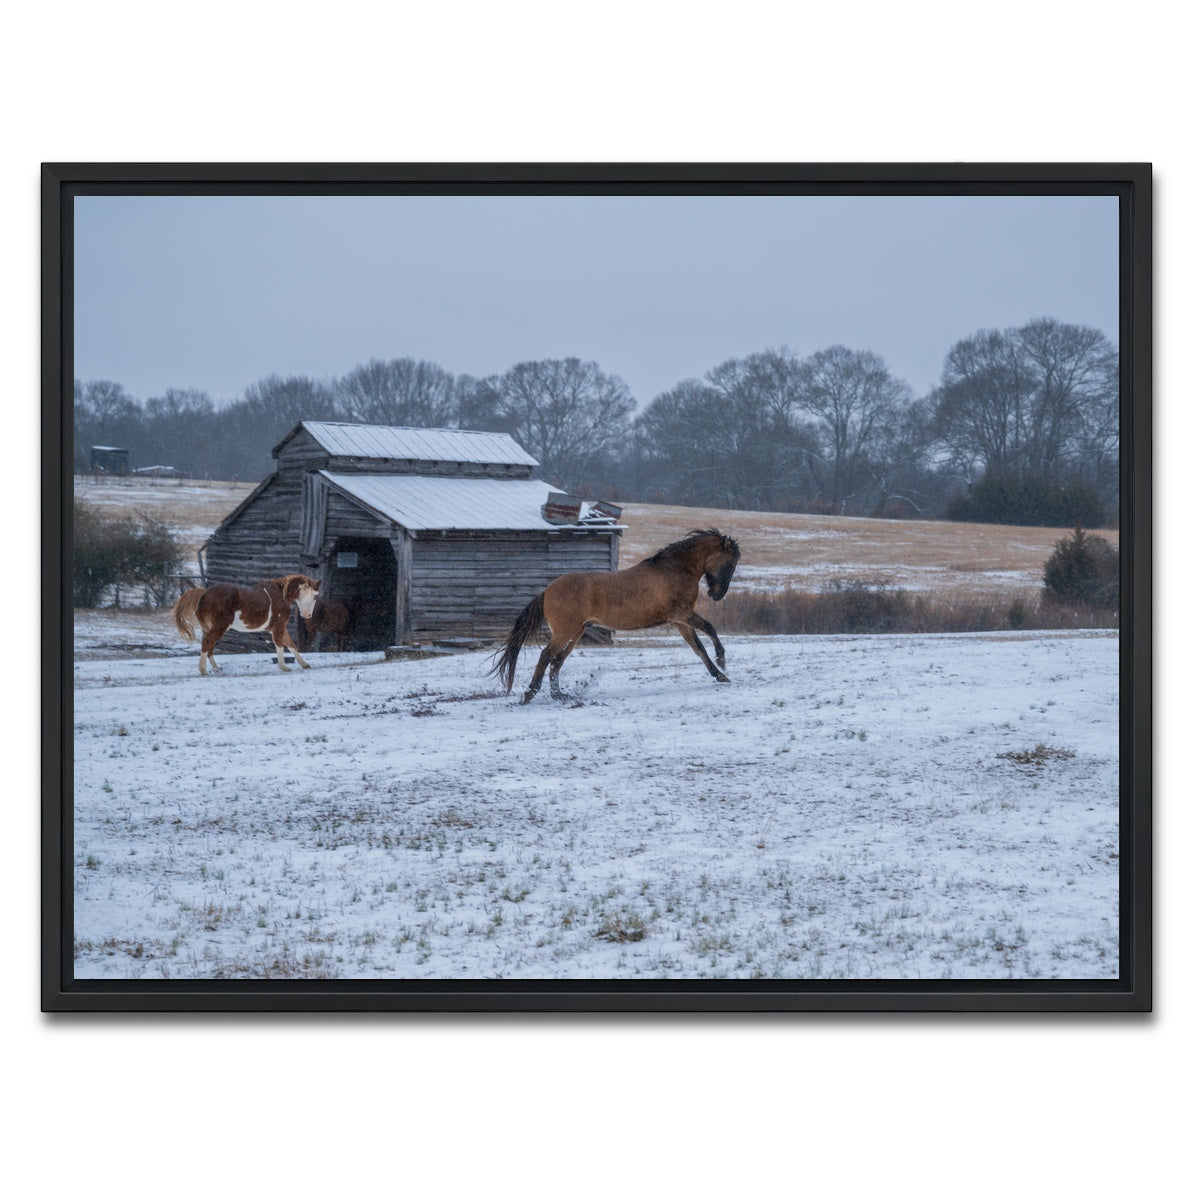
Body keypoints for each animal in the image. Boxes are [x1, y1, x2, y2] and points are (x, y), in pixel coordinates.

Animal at [172, 574, 321, 676]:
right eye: (315, 596)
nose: (307, 615)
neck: (281, 594)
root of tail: (204, 593)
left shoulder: (277, 628)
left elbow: (291, 644)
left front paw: (305, 665)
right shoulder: (278, 626)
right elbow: (280, 644)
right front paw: (284, 667)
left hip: (209, 628)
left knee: (209, 646)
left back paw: (217, 669)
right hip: (220, 627)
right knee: (207, 643)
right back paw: (203, 670)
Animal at [491, 528, 740, 704]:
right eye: (729, 564)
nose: (717, 595)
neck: (674, 570)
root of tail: (547, 591)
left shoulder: (679, 622)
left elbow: (698, 648)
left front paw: (719, 675)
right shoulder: (683, 614)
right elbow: (710, 628)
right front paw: (722, 661)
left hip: (576, 632)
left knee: (557, 661)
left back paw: (559, 695)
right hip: (565, 632)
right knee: (546, 656)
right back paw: (530, 693)